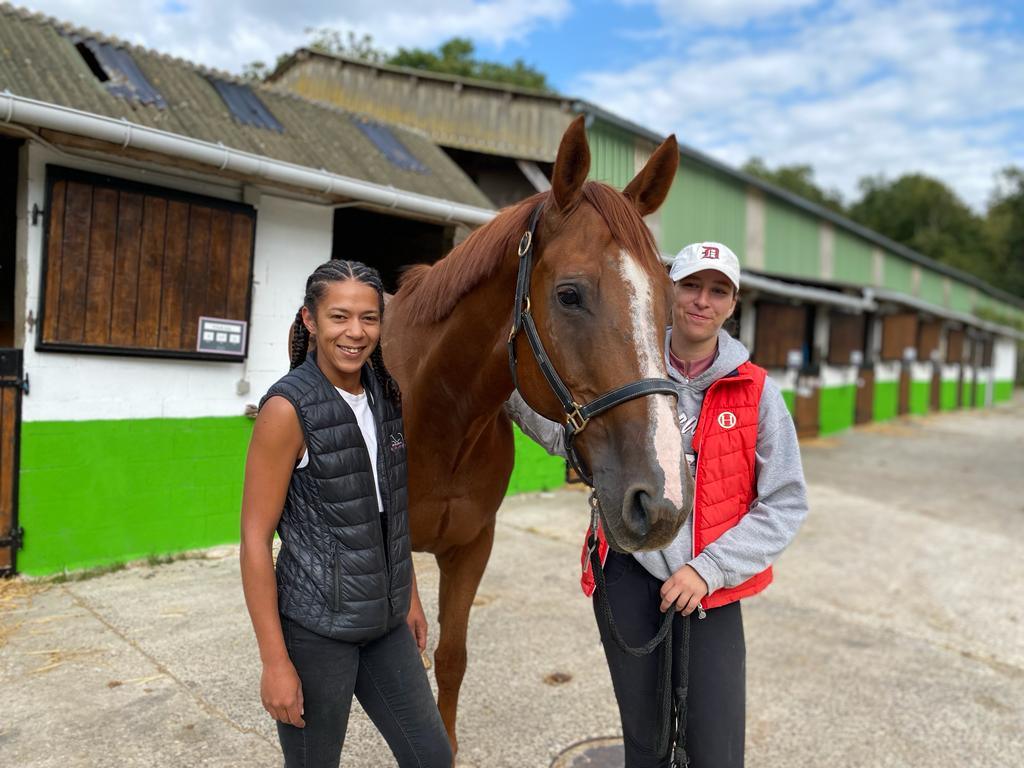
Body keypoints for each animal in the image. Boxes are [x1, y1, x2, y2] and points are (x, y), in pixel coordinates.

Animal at [385, 117, 696, 761]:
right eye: (569, 294)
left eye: (667, 301)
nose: (663, 500)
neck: (438, 413)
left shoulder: (473, 546)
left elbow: (450, 659)